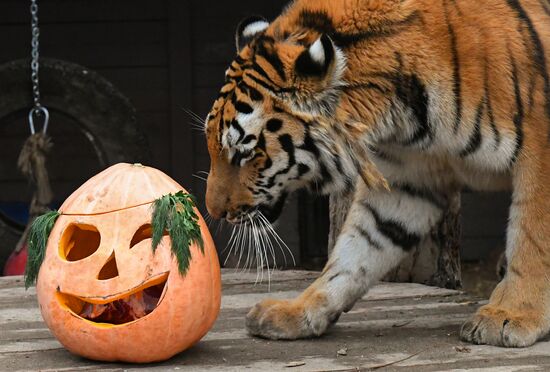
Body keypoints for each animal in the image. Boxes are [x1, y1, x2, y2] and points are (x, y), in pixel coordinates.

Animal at [205, 0, 550, 348]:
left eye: (245, 153)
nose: (214, 212)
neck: (405, 119)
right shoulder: (409, 180)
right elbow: (356, 250)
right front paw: (297, 312)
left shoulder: (540, 155)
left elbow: (532, 240)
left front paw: (512, 314)